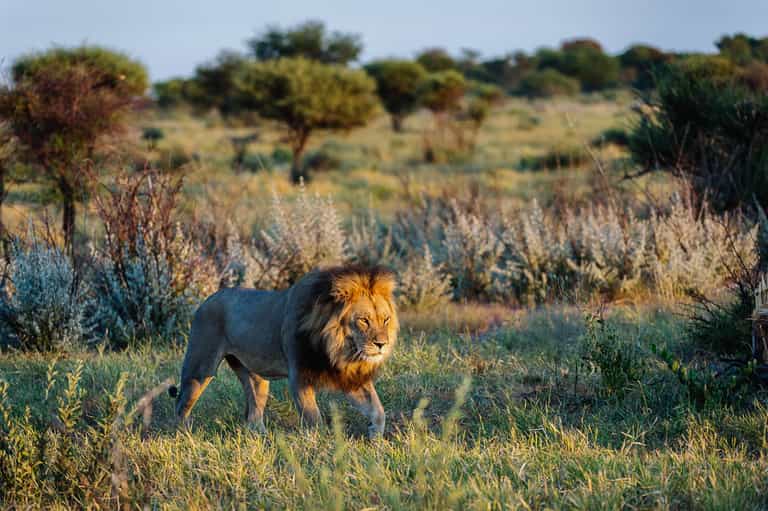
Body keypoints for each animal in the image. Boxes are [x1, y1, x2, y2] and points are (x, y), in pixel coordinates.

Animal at [168, 265, 398, 437]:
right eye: (363, 320)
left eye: (385, 320)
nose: (382, 344)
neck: (337, 349)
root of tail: (207, 299)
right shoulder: (299, 377)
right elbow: (314, 419)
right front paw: (322, 448)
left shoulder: (348, 376)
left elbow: (378, 410)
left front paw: (375, 439)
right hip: (200, 367)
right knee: (180, 406)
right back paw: (186, 438)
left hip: (255, 377)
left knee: (253, 415)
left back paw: (262, 439)